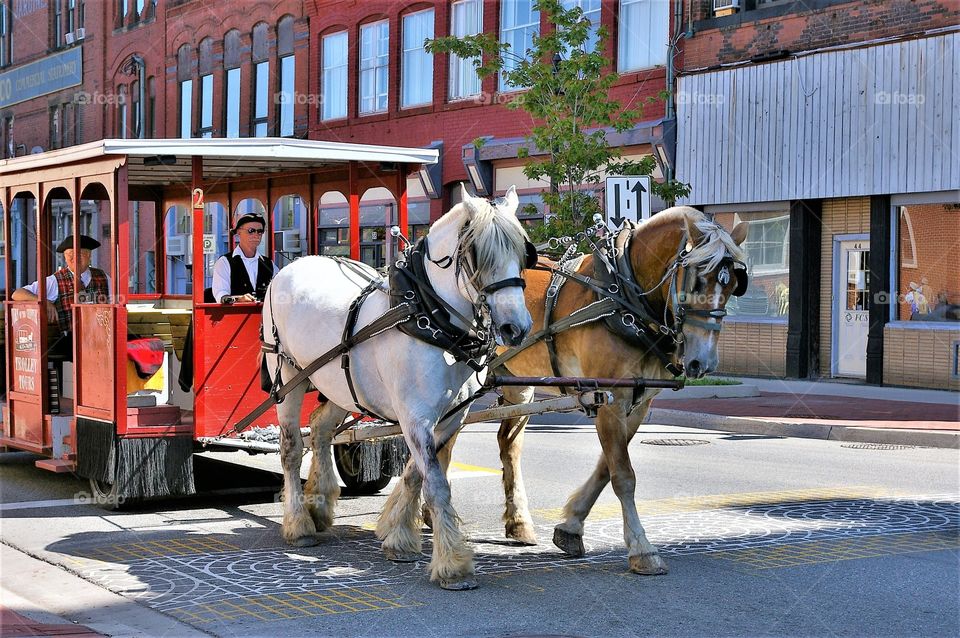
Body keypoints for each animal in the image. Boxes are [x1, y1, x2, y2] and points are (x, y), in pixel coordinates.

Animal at [262, 188, 532, 592]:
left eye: (522, 252)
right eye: (477, 256)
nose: (517, 327)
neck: (428, 316)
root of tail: (291, 266)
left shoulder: (451, 416)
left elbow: (417, 474)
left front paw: (398, 537)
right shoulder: (415, 416)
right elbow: (436, 483)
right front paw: (452, 564)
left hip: (337, 383)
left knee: (321, 428)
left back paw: (320, 504)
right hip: (288, 376)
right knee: (292, 448)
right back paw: (299, 524)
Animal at [472, 208, 752, 576]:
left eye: (733, 284)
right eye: (696, 280)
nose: (702, 362)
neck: (625, 298)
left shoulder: (638, 401)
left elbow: (608, 467)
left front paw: (570, 528)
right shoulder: (610, 398)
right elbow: (623, 475)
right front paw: (642, 549)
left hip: (517, 385)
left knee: (508, 446)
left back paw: (518, 524)